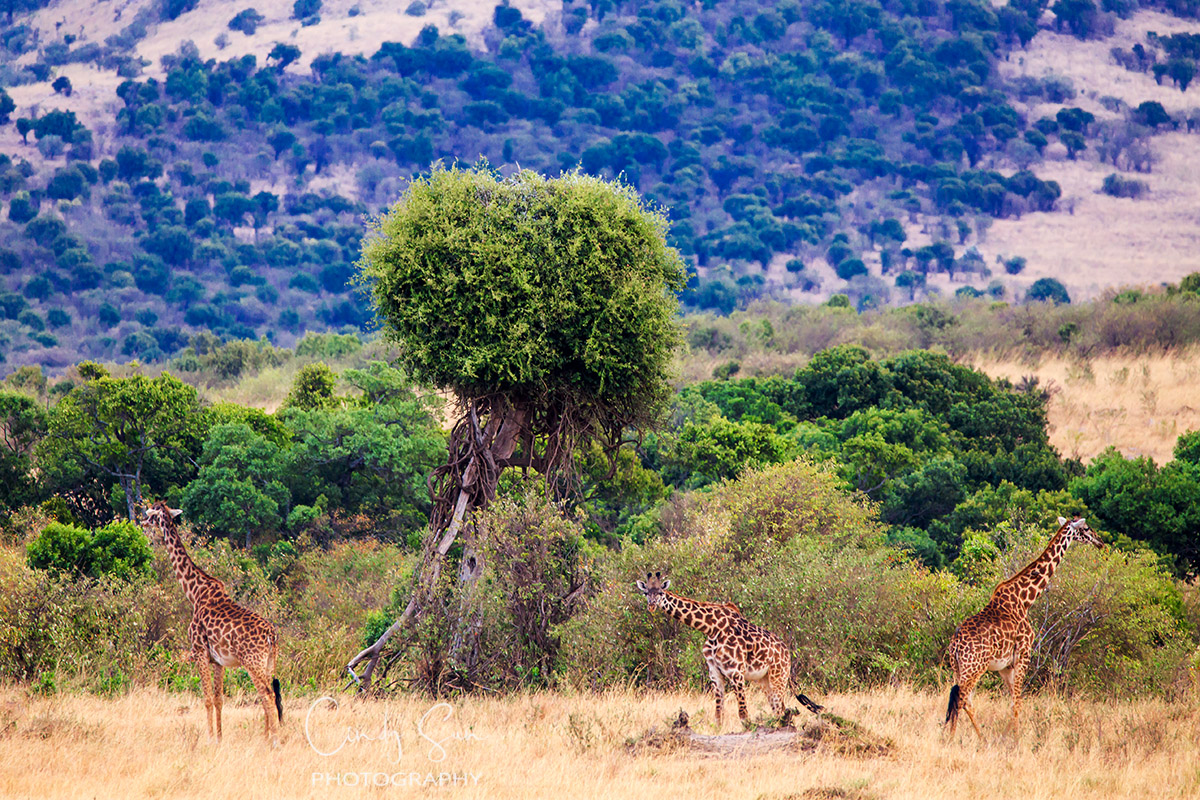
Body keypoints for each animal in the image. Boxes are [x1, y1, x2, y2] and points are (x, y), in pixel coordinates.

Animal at [142, 502, 283, 745]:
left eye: (151, 513)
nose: (141, 521)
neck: (194, 592)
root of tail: (271, 635)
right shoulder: (217, 660)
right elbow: (219, 699)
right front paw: (219, 737)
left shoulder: (198, 651)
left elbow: (206, 698)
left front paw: (209, 738)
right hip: (269, 661)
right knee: (271, 693)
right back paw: (267, 737)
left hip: (252, 662)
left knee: (266, 693)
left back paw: (273, 739)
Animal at [636, 572, 823, 729]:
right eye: (646, 593)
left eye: (660, 593)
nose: (651, 606)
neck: (711, 628)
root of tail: (787, 654)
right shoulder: (715, 673)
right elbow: (718, 716)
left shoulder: (736, 672)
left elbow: (744, 716)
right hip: (764, 681)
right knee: (780, 710)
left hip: (779, 677)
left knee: (781, 710)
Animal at [944, 516, 1104, 741]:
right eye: (1087, 528)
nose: (1100, 542)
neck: (1025, 599)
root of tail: (955, 644)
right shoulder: (1023, 655)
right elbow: (1017, 702)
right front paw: (1016, 738)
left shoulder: (1005, 666)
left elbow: (1013, 700)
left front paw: (1008, 735)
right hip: (974, 667)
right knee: (961, 699)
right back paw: (964, 739)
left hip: (958, 667)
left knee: (961, 699)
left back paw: (966, 738)